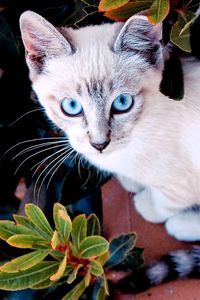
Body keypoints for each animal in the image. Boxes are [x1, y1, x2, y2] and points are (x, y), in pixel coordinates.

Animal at [19, 11, 200, 292]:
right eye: (71, 106)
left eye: (122, 103)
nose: (99, 144)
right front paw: (132, 182)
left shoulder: (183, 182)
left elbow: (165, 202)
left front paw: (147, 204)